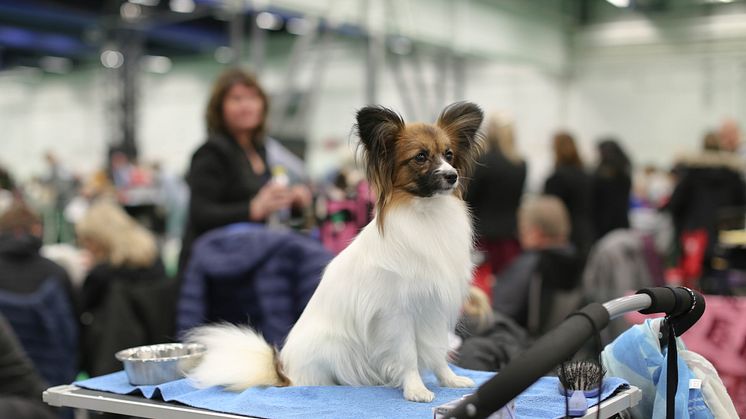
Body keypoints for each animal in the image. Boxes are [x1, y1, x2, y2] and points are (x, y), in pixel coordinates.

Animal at [186, 101, 482, 404]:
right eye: (420, 157)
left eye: (449, 155)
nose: (452, 176)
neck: (427, 214)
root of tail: (284, 373)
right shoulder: (396, 314)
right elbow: (408, 354)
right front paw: (416, 389)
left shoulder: (433, 309)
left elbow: (437, 353)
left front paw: (449, 379)